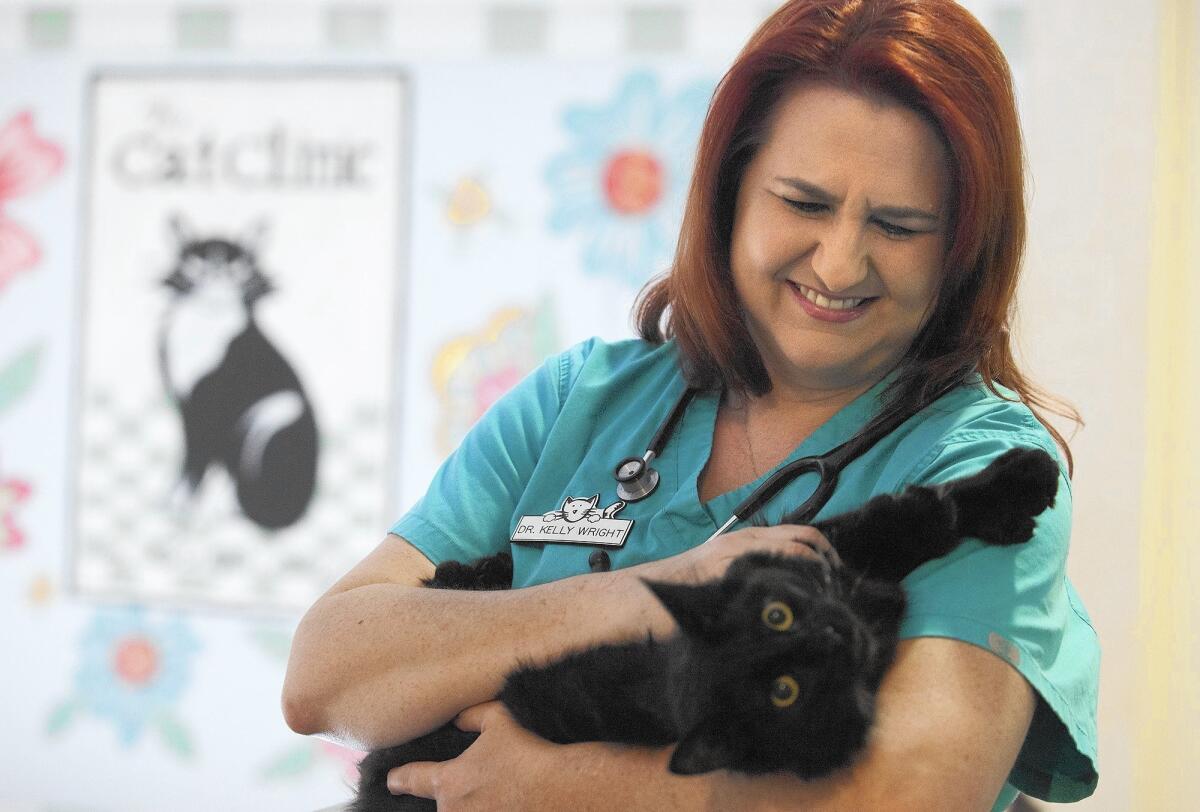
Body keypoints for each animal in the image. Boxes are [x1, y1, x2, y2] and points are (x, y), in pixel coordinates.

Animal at [158, 215, 319, 527]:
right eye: (197, 263)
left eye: (235, 267)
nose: (216, 274)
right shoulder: (188, 406)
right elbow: (191, 459)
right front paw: (178, 500)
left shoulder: (216, 408)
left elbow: (202, 460)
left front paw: (187, 505)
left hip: (268, 423)